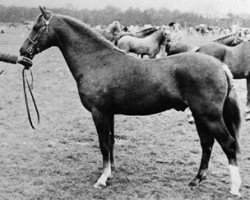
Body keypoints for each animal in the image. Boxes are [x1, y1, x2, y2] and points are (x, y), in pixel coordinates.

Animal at [19, 7, 242, 196]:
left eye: (37, 27)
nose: (23, 52)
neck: (97, 61)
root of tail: (221, 66)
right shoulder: (108, 113)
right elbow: (111, 142)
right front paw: (109, 172)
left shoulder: (99, 113)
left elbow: (103, 144)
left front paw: (102, 179)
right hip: (200, 116)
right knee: (207, 144)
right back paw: (196, 180)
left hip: (210, 116)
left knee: (228, 144)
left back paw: (234, 188)